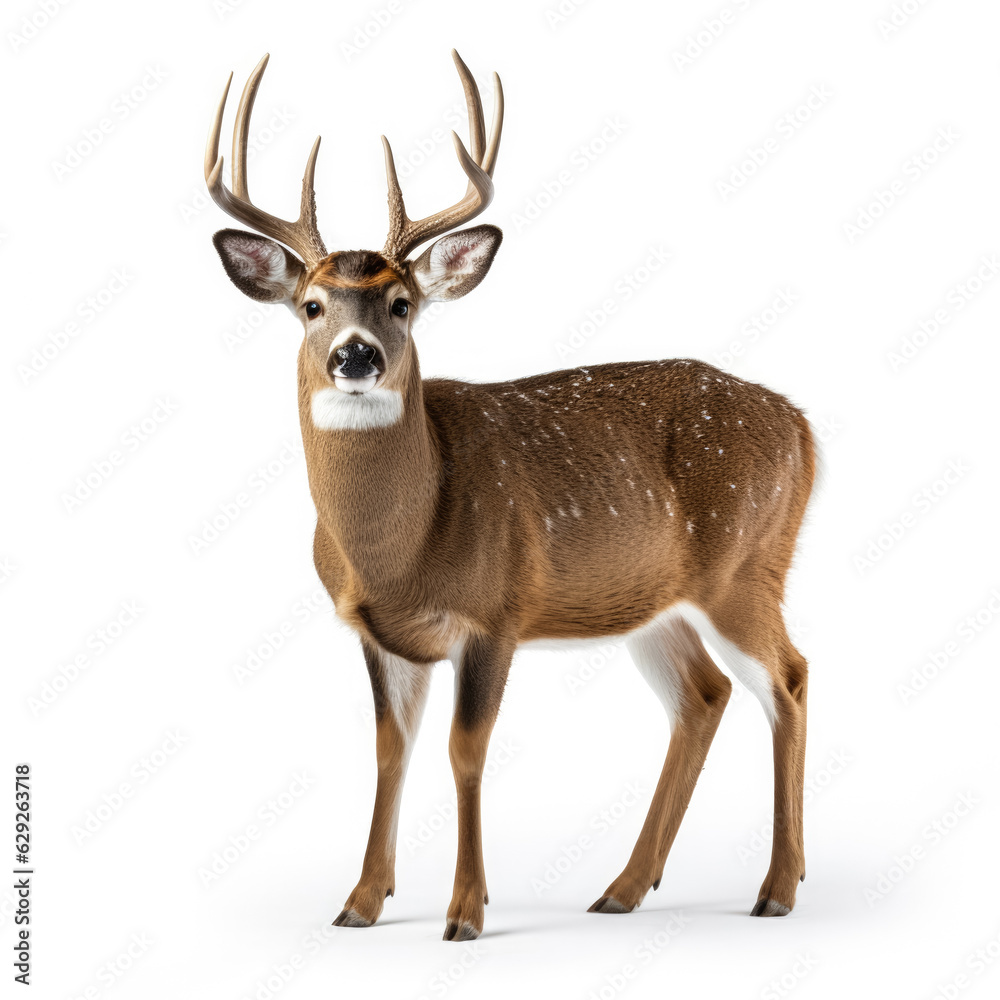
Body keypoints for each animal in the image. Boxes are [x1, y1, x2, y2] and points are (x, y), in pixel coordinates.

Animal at [205, 50, 816, 942]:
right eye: (310, 306)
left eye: (402, 304)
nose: (356, 356)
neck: (399, 549)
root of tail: (804, 427)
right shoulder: (379, 633)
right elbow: (390, 750)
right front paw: (361, 902)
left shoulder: (495, 611)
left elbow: (466, 750)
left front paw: (465, 911)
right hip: (656, 603)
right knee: (704, 696)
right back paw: (624, 887)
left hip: (747, 567)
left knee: (791, 677)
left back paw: (777, 887)